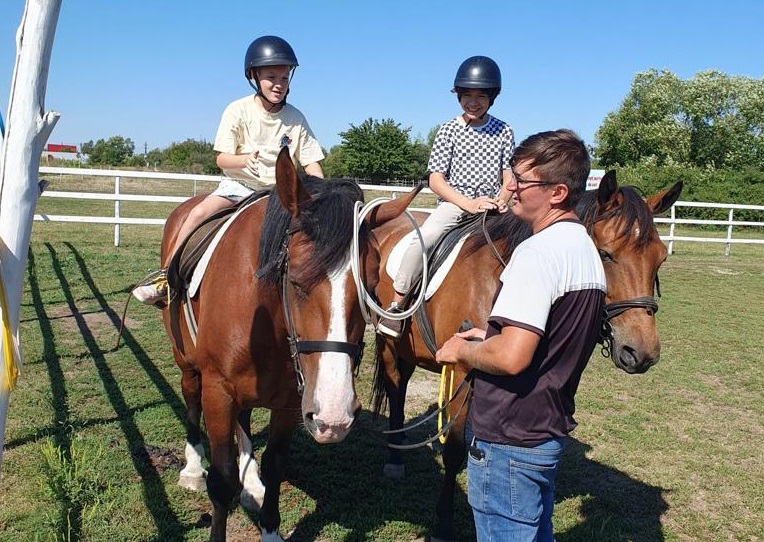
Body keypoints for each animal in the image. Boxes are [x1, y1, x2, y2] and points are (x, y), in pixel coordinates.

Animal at [157, 147, 418, 540]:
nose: (335, 417)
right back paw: (191, 468)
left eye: (371, 283)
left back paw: (251, 483)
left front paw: (269, 525)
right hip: (186, 360)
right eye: (294, 278)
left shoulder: (293, 401)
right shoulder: (219, 390)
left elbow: (276, 463)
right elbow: (222, 479)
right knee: (190, 395)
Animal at [368, 173, 680, 542]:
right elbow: (455, 449)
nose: (642, 352)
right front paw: (443, 524)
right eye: (604, 254)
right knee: (396, 390)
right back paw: (394, 458)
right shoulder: (459, 370)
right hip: (390, 345)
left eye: (660, 259)